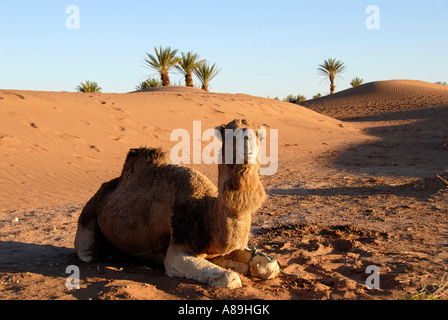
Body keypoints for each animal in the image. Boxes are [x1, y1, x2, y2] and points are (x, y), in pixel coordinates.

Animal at [75, 119, 278, 288]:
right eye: (229, 134)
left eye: (259, 135)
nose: (247, 144)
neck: (207, 216)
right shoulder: (177, 249)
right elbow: (230, 278)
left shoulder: (224, 249)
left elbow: (271, 266)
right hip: (87, 217)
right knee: (87, 253)